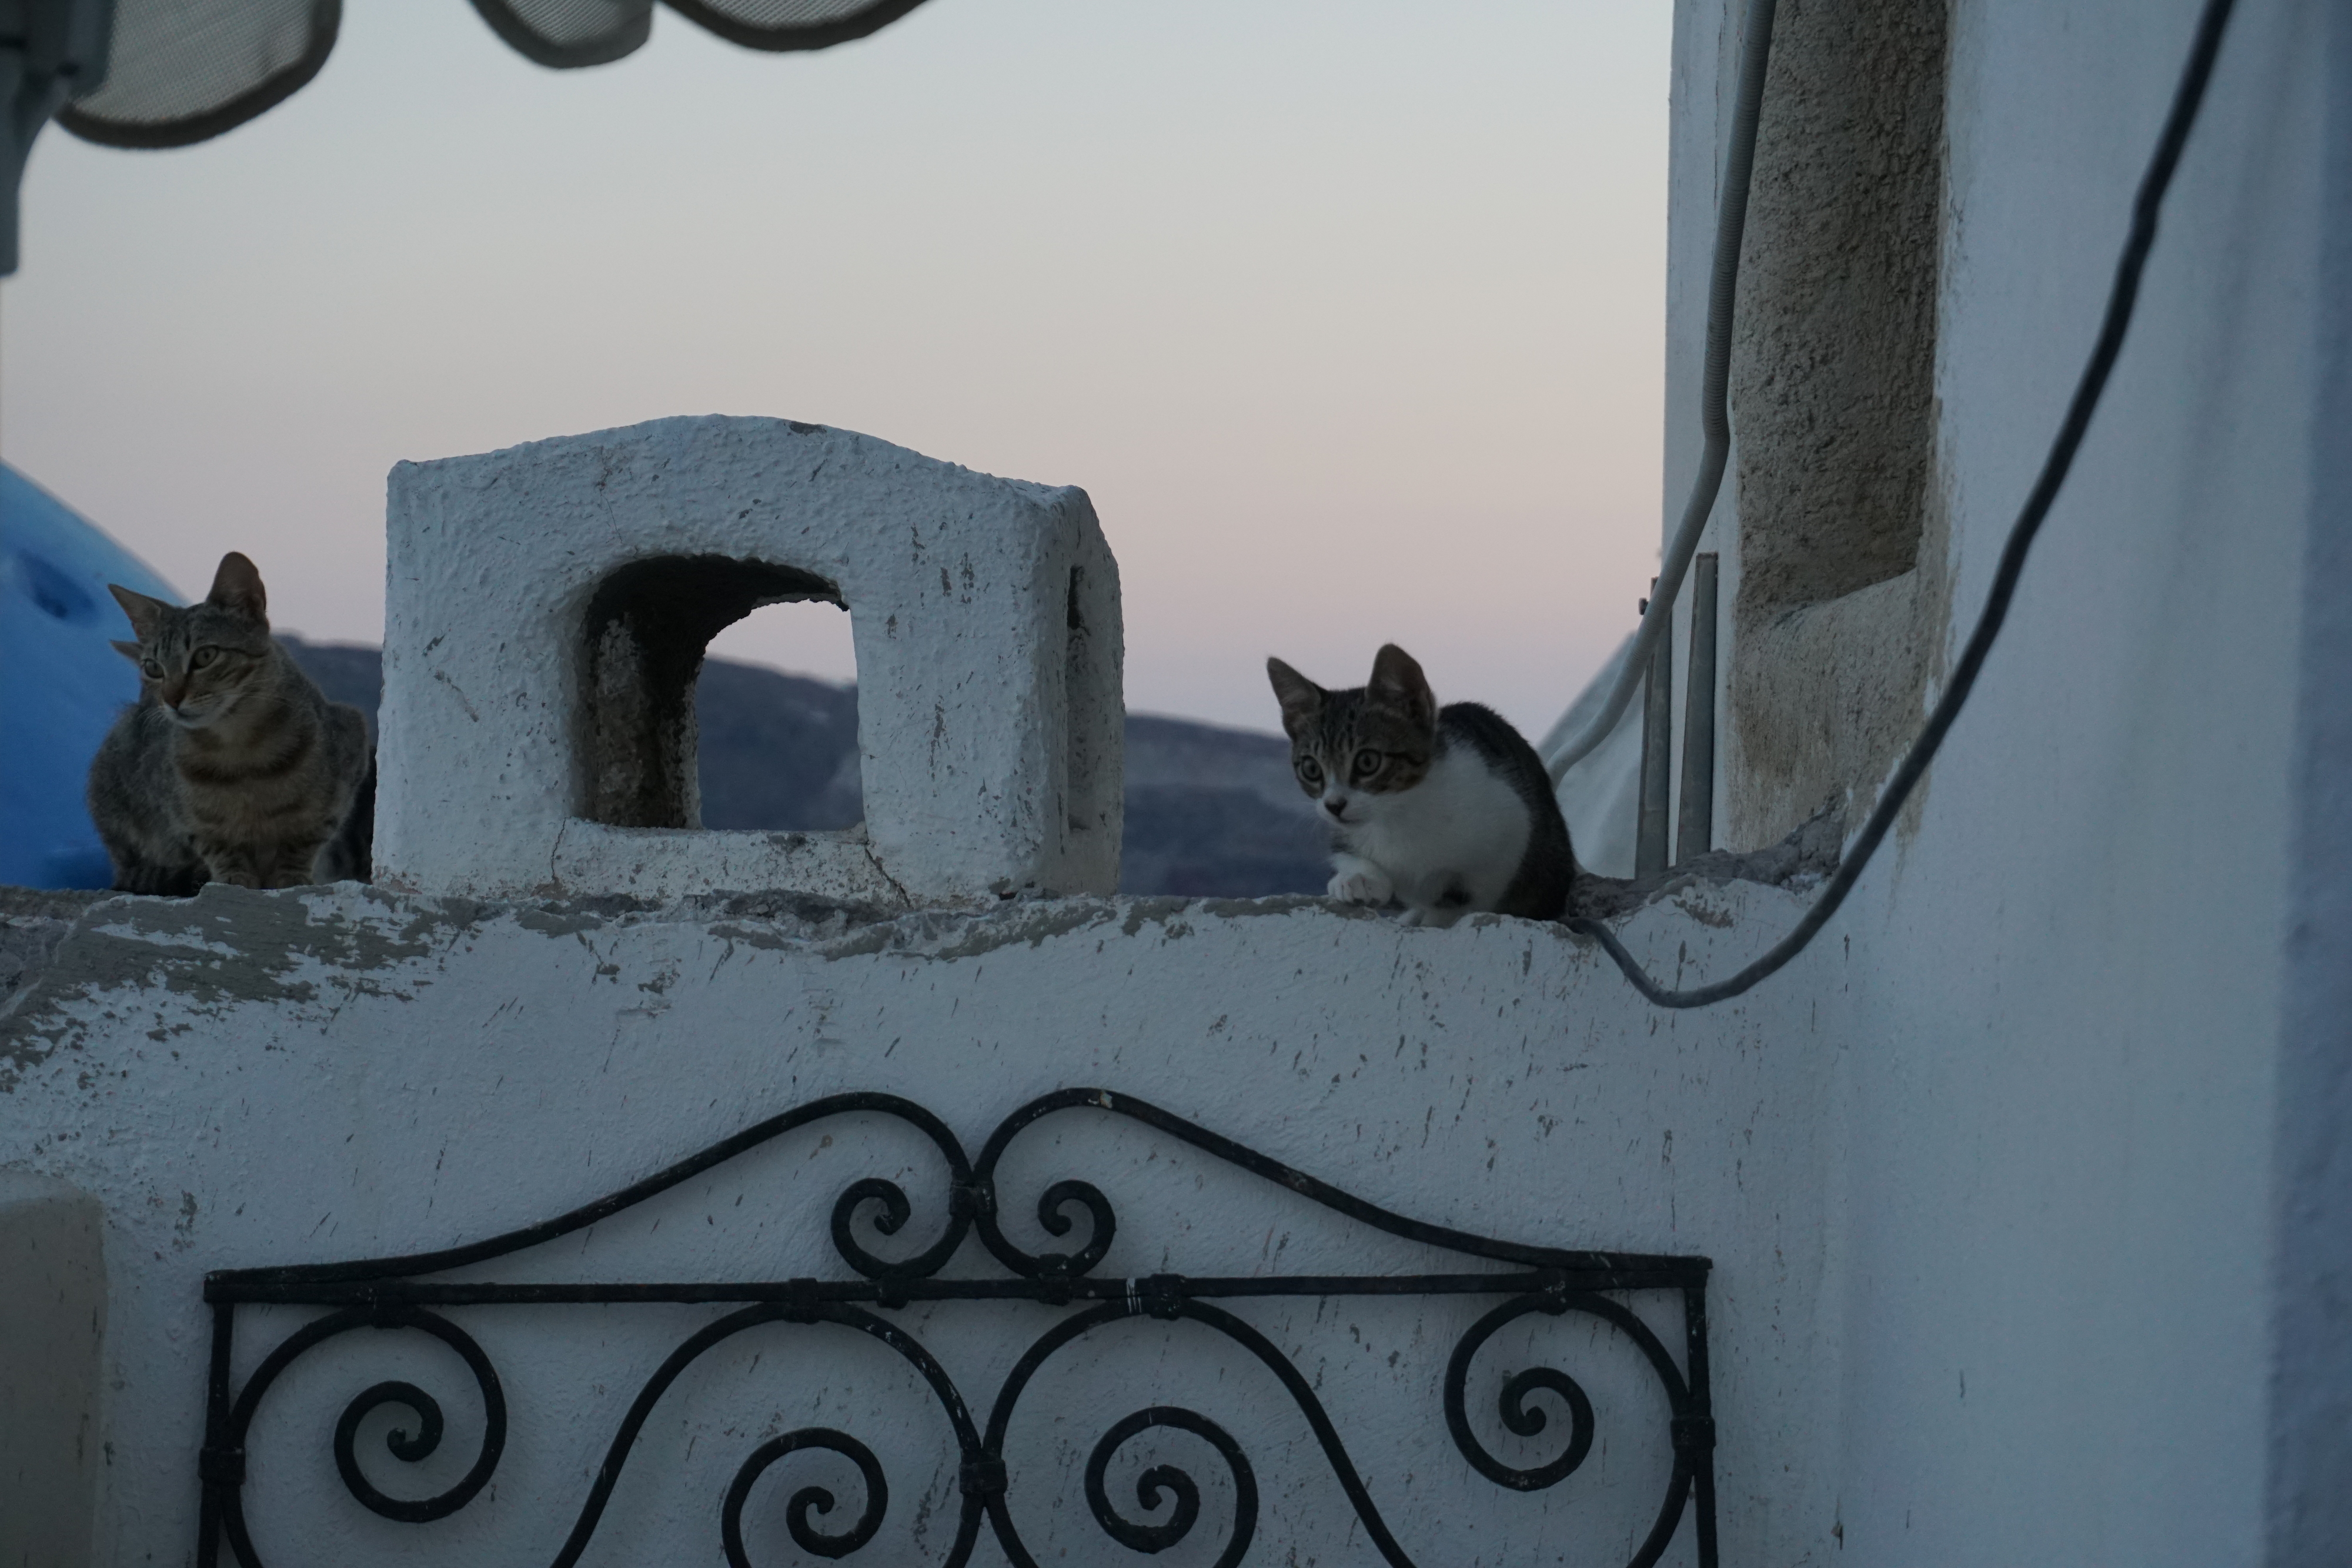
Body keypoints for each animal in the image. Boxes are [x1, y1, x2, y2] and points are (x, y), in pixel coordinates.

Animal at [89, 552, 372, 893]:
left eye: (205, 656)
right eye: (153, 668)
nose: (171, 699)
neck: (240, 753)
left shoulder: (349, 752)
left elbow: (302, 843)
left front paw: (291, 878)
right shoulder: (187, 819)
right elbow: (219, 848)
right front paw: (233, 880)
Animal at [1270, 644, 1581, 926]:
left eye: (1367, 762)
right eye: (1311, 769)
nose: (1334, 805)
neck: (1399, 812)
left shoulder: (1513, 831)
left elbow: (1473, 894)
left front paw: (1439, 913)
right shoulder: (1345, 834)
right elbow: (1348, 855)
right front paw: (1356, 878)